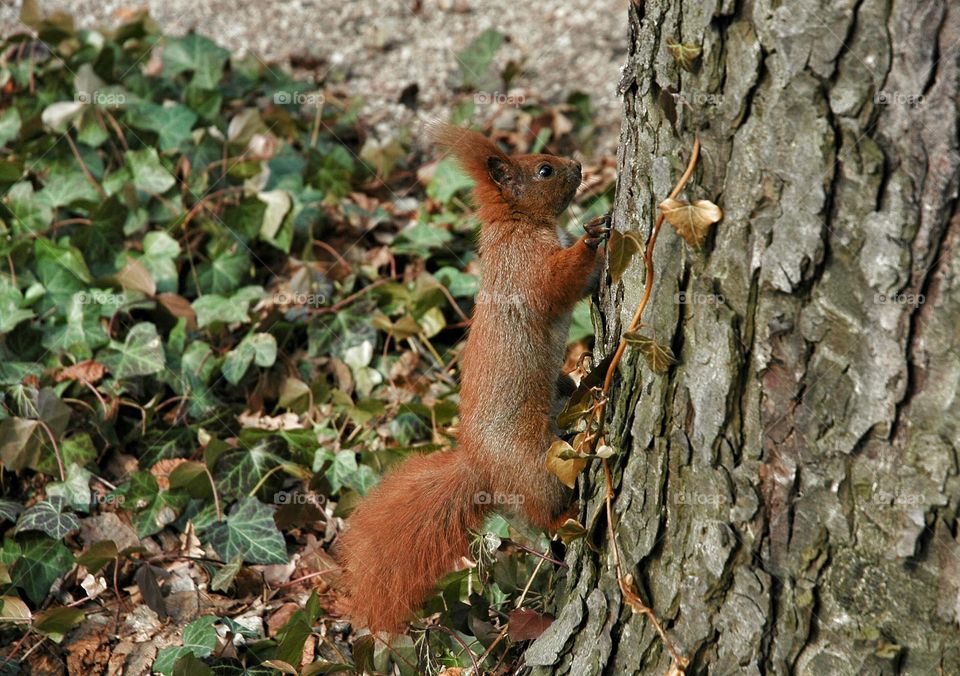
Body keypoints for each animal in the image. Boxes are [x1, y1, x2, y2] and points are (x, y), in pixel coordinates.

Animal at [336, 123, 610, 632]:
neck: (517, 225)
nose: (579, 166)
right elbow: (557, 283)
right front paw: (592, 237)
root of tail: (481, 467)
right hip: (535, 466)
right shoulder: (526, 270)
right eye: (545, 169)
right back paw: (569, 515)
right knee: (544, 512)